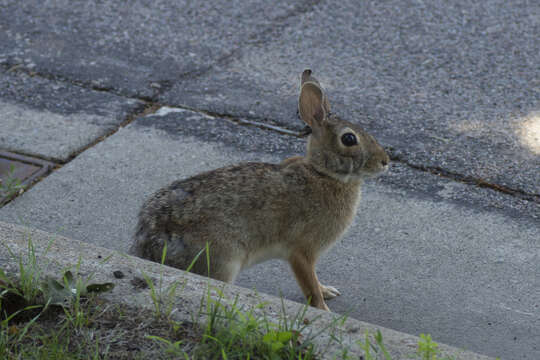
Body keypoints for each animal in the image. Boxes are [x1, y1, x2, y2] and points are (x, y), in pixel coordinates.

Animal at [133, 69, 390, 310]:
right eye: (349, 139)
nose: (385, 161)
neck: (324, 173)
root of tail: (150, 249)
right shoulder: (301, 251)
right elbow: (309, 284)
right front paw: (324, 309)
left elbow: (315, 283)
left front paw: (327, 291)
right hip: (223, 261)